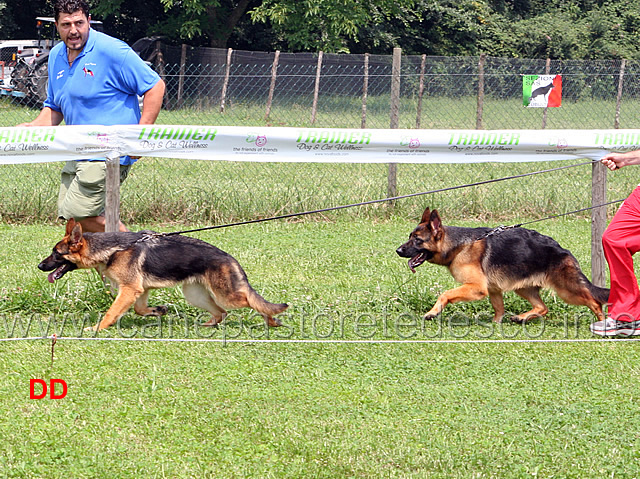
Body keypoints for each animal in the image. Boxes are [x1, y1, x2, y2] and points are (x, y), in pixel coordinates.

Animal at [38, 220, 288, 330]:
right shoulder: (140, 291)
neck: (112, 249)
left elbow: (111, 312)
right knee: (221, 312)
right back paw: (208, 324)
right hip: (195, 295)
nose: (40, 266)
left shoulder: (129, 290)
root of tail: (228, 257)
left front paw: (98, 329)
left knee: (250, 300)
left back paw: (271, 320)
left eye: (56, 254)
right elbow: (140, 309)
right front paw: (158, 310)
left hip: (228, 295)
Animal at [396, 209, 608, 322]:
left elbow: (445, 294)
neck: (459, 245)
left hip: (567, 289)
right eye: (409, 237)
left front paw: (433, 312)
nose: (398, 250)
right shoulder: (493, 290)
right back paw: (522, 317)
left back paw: (603, 323)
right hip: (523, 288)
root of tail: (563, 250)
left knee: (594, 301)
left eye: (417, 240)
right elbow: (499, 309)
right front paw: (495, 324)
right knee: (542, 307)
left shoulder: (477, 288)